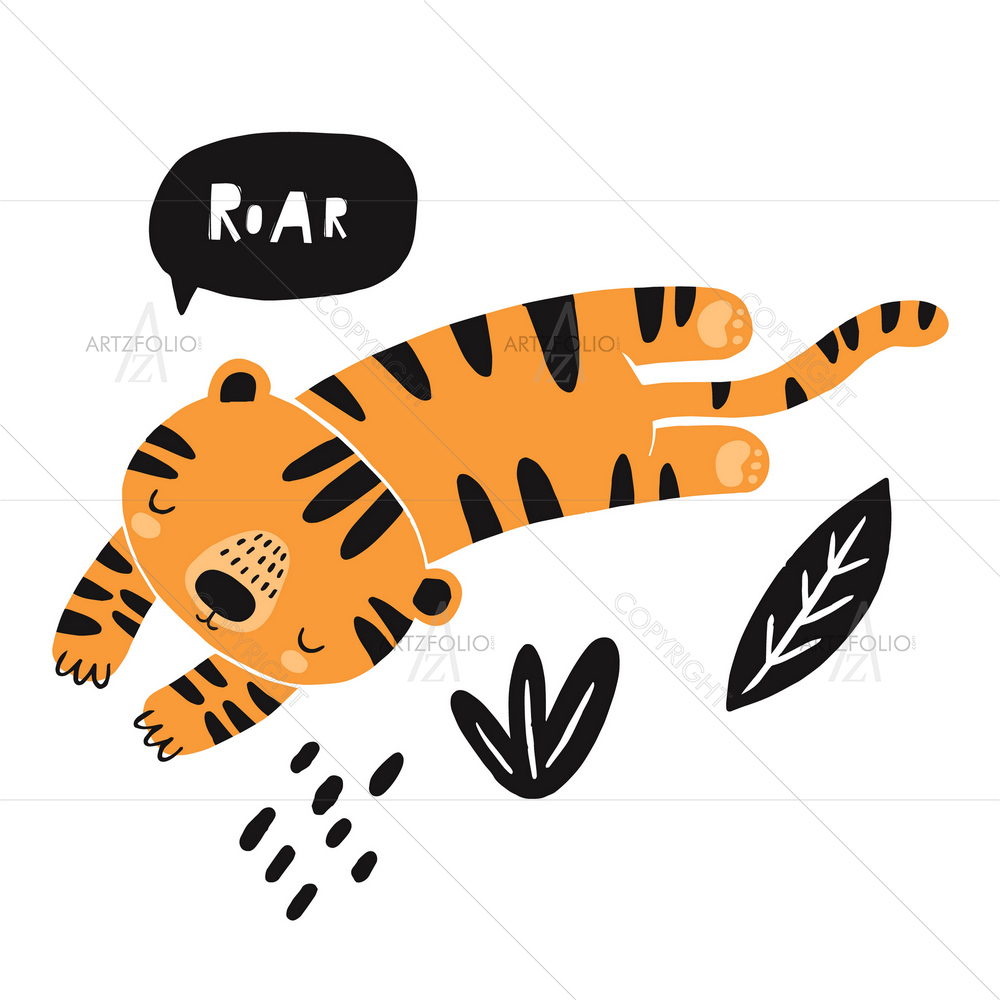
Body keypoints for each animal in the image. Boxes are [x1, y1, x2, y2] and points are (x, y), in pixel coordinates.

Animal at [51, 288, 948, 759]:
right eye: (188, 504)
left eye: (310, 634)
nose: (223, 597)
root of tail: (643, 397)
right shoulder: (143, 535)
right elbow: (111, 580)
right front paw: (84, 654)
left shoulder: (286, 661)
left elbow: (237, 687)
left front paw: (170, 719)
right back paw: (731, 379)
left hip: (611, 445)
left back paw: (731, 371)